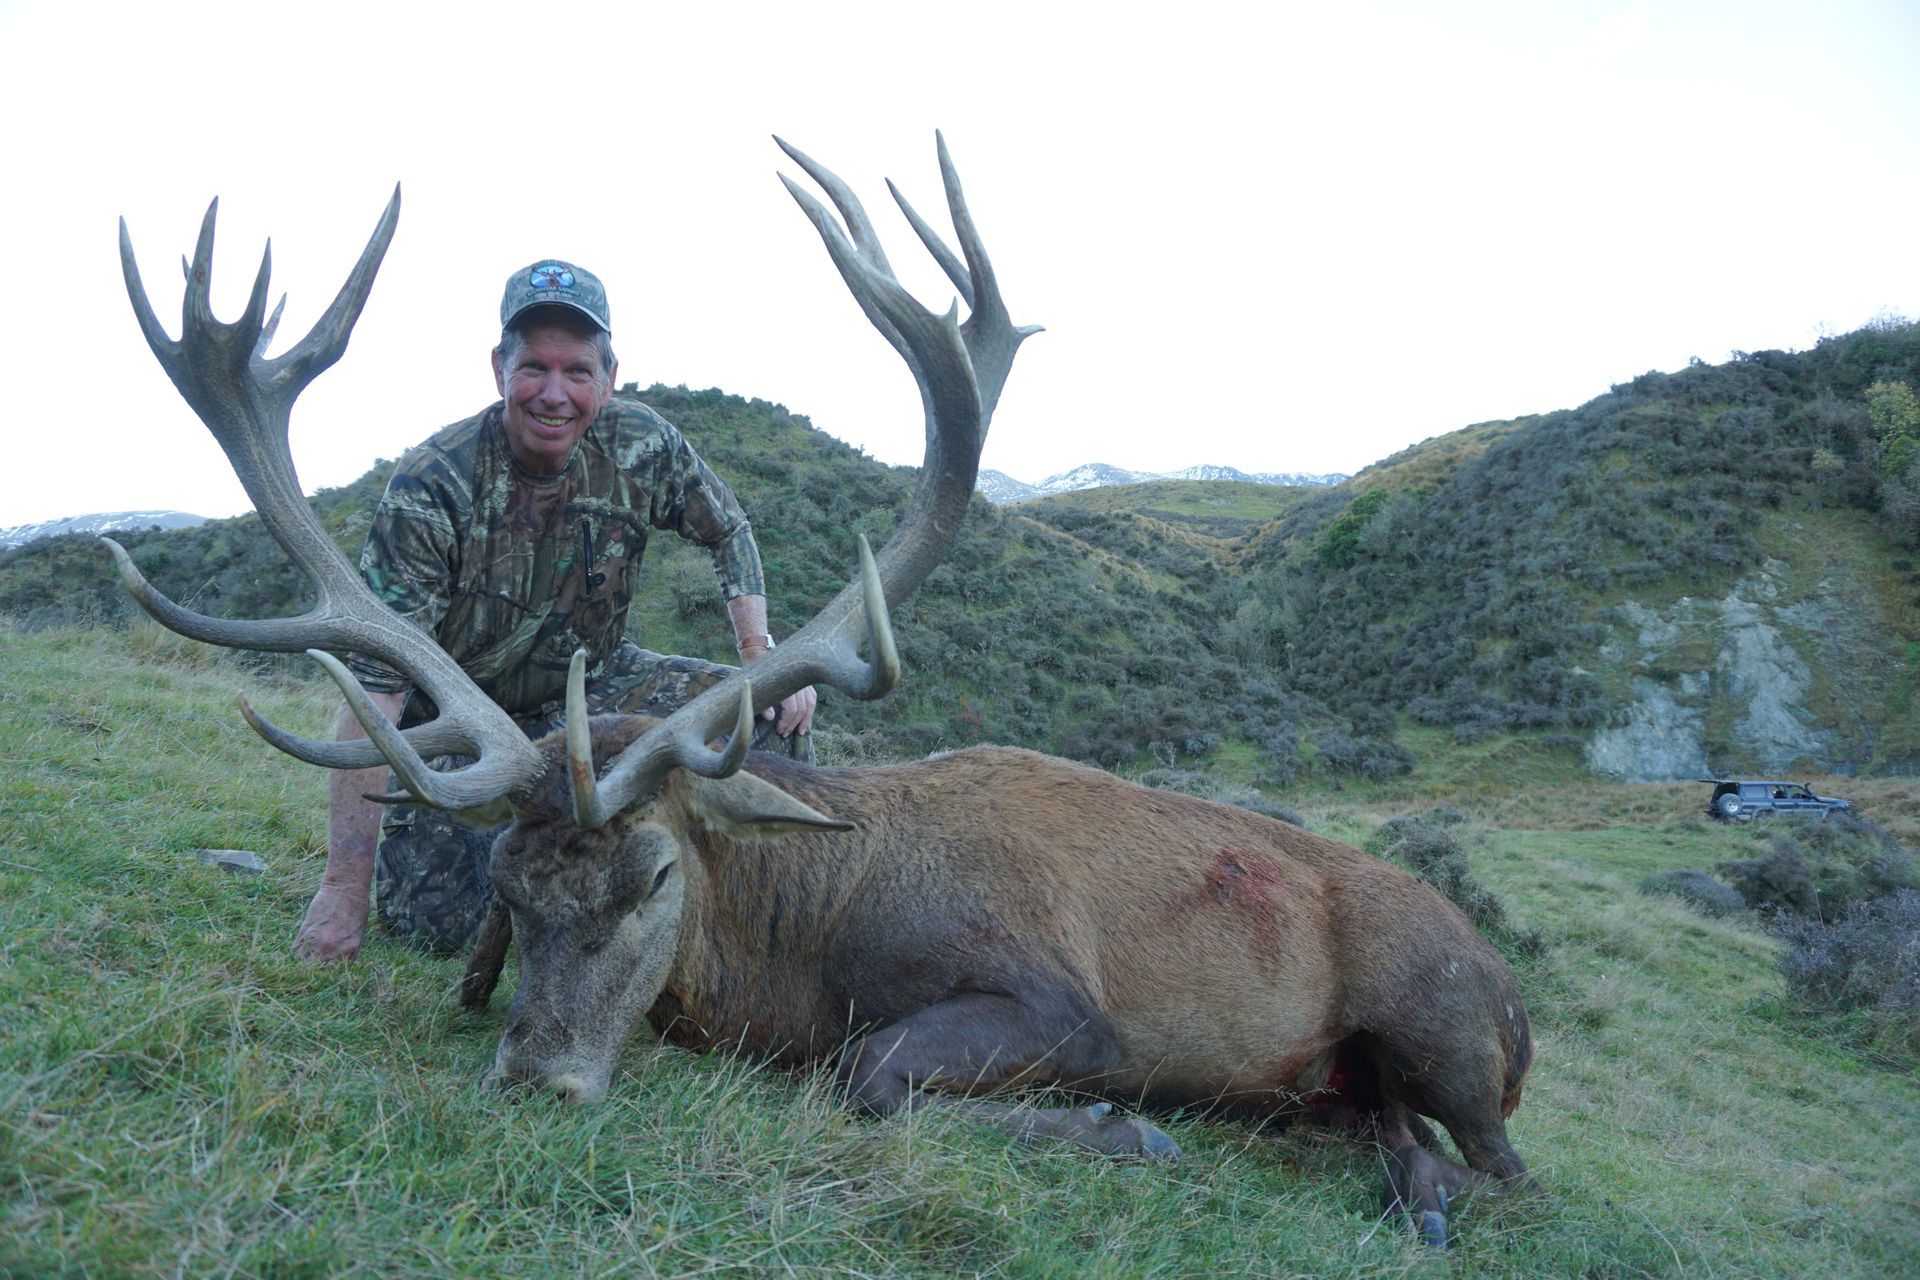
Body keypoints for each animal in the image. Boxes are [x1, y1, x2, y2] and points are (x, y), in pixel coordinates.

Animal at [107, 136, 1531, 1248]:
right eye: (506, 886)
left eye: (654, 879)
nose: (538, 1076)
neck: (801, 950)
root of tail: (1511, 992)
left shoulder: (1064, 1001)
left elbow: (869, 1069)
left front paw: (1128, 1131)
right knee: (1387, 1126)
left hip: (1441, 1020)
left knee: (1508, 1163)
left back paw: (1418, 1186)